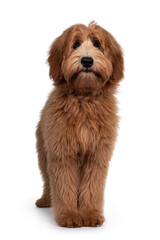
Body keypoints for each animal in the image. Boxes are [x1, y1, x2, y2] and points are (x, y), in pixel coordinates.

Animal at [35, 21, 124, 228]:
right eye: (75, 44)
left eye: (97, 44)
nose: (87, 61)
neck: (84, 98)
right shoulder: (62, 153)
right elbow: (64, 186)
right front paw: (68, 215)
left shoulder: (97, 154)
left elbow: (92, 187)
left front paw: (90, 214)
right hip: (43, 152)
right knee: (47, 180)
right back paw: (46, 200)